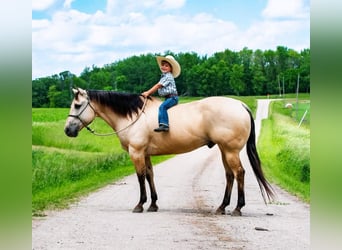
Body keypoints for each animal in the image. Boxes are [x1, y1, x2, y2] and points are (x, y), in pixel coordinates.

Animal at [64, 87, 274, 215]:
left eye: (77, 105)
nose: (68, 130)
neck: (134, 116)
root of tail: (241, 105)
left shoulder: (136, 152)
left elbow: (140, 177)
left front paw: (140, 204)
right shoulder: (146, 154)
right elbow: (150, 175)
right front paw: (153, 204)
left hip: (231, 151)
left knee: (239, 173)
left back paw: (238, 208)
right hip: (224, 150)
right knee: (230, 175)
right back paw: (222, 207)